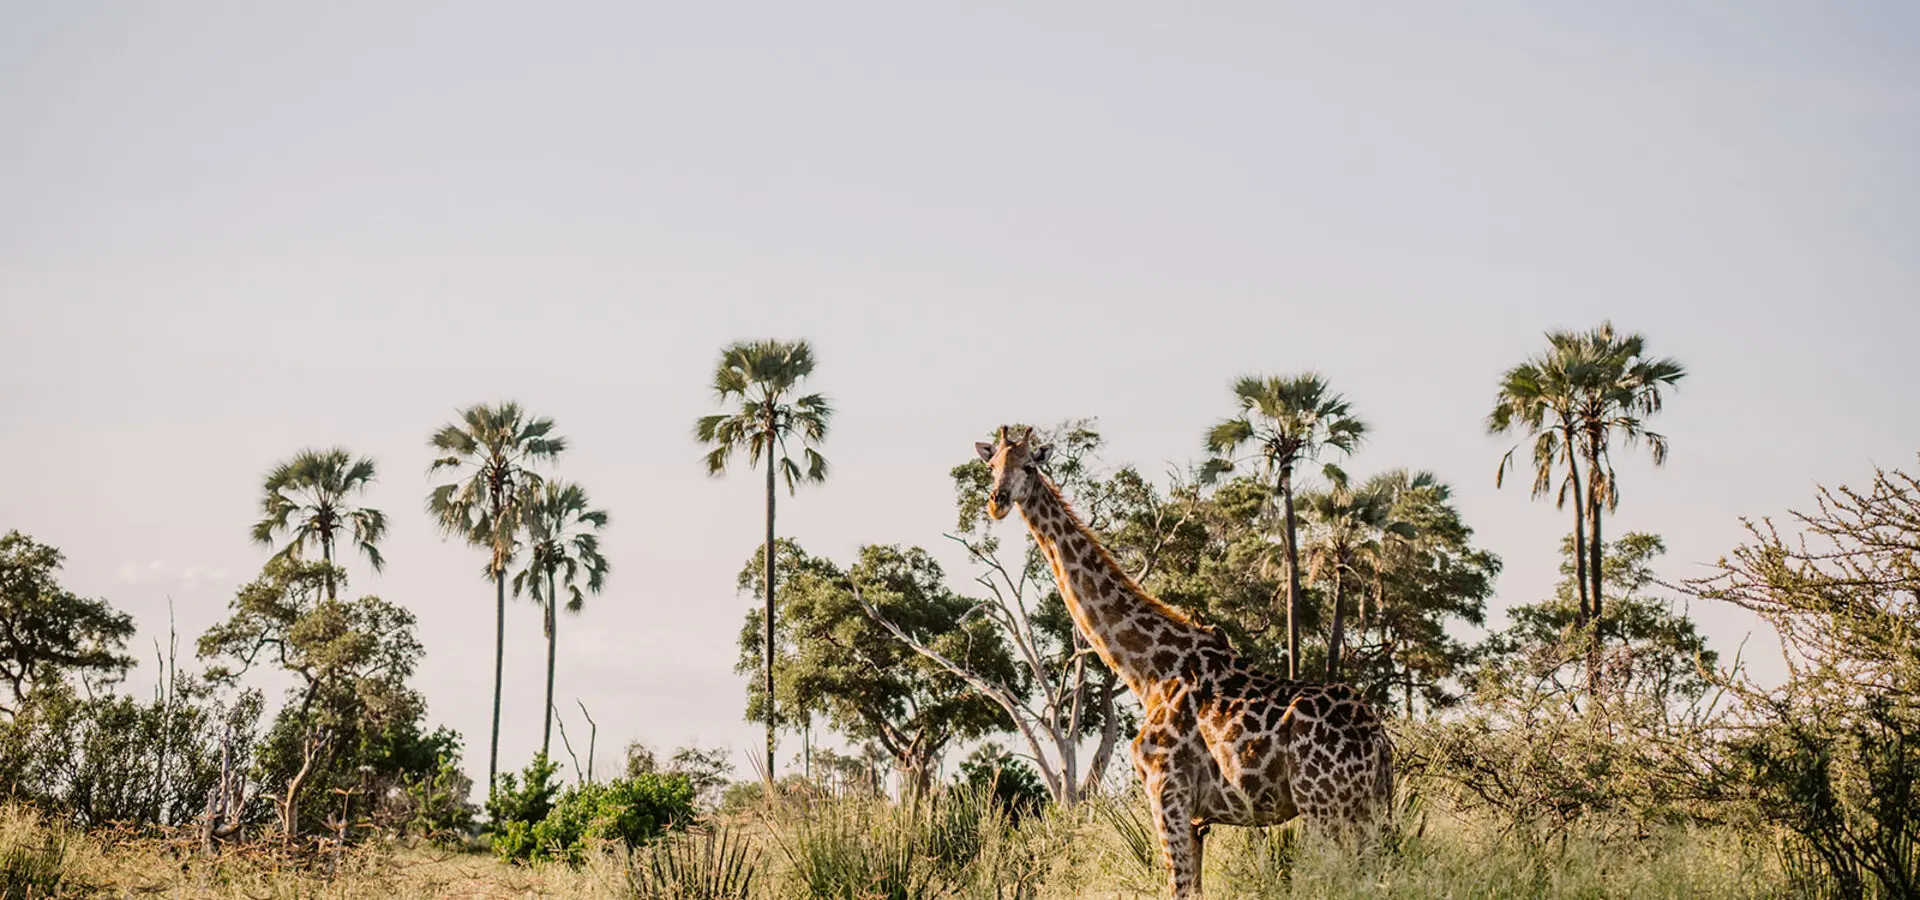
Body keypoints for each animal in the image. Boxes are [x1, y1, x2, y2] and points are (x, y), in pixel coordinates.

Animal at [976, 426, 1394, 899]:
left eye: (1030, 466)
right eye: (992, 465)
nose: (997, 500)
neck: (1148, 671)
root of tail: (1377, 739)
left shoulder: (1167, 792)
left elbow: (1179, 888)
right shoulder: (1197, 817)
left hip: (1324, 805)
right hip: (1369, 809)